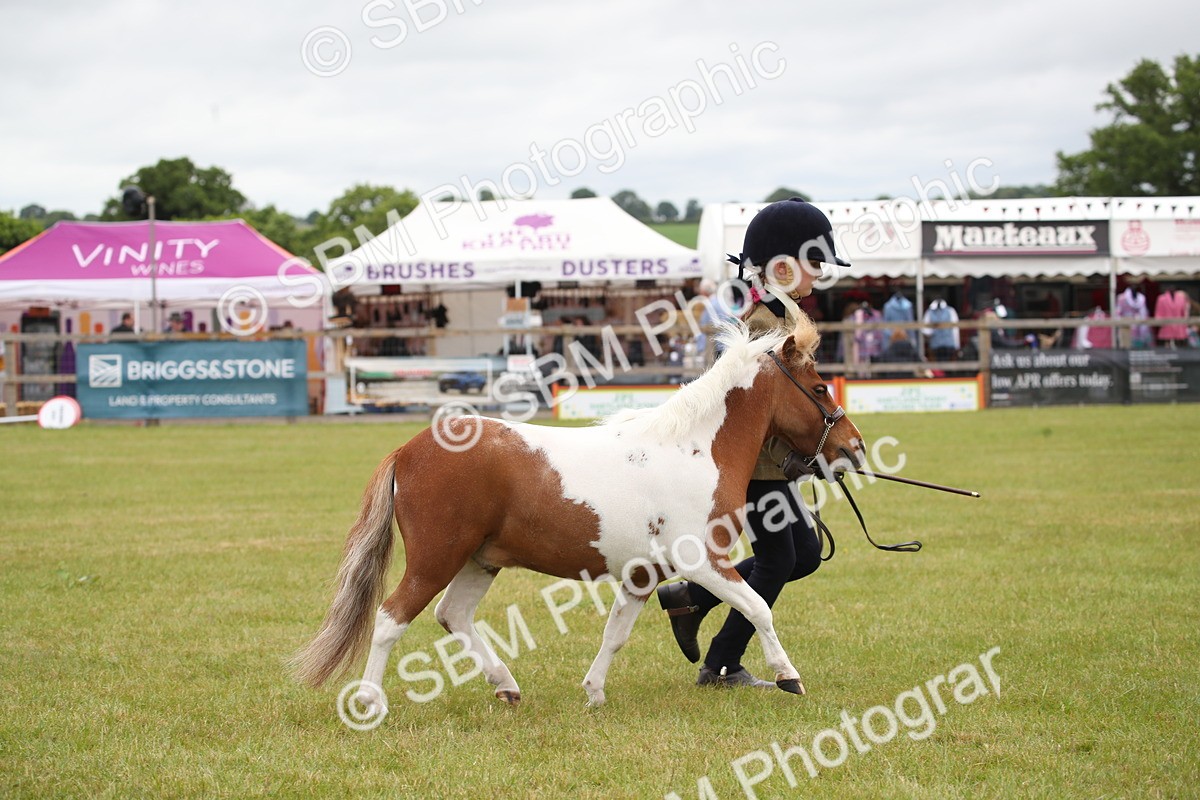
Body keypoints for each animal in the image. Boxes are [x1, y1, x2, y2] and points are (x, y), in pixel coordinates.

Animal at [293, 314, 865, 713]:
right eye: (819, 388)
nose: (854, 447)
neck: (695, 449)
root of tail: (408, 451)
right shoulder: (704, 561)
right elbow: (759, 608)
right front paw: (789, 677)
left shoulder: (642, 575)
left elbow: (616, 633)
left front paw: (593, 693)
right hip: (436, 558)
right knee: (391, 619)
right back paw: (371, 702)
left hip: (481, 560)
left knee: (452, 615)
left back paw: (506, 686)